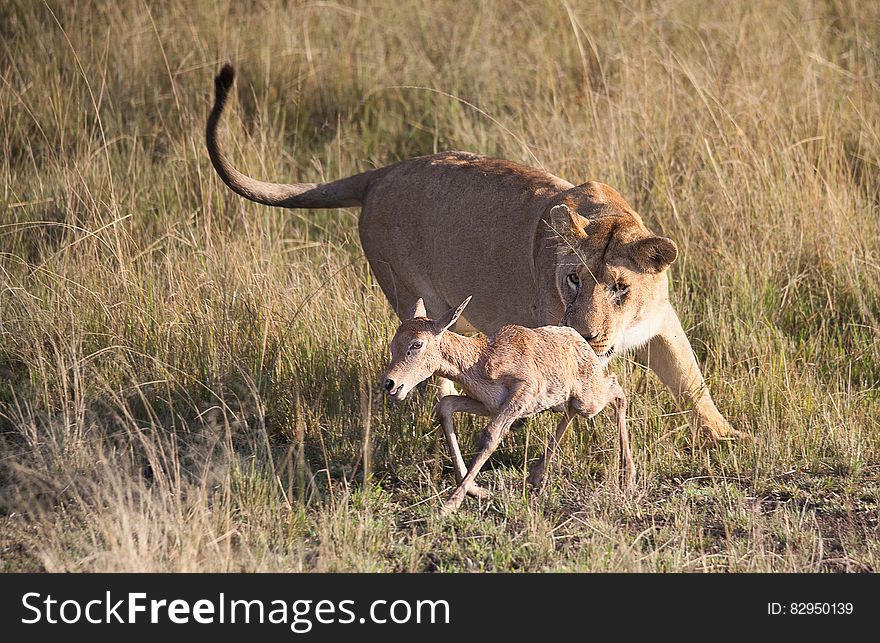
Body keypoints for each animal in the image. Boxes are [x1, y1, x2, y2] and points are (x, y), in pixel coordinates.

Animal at [382, 298, 636, 520]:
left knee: (616, 389)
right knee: (573, 409)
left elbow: (490, 435)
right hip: (570, 400)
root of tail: (580, 341)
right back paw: (536, 474)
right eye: (394, 343)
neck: (481, 360)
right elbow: (444, 406)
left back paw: (628, 476)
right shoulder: (488, 405)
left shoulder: (523, 392)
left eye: (416, 344)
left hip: (589, 400)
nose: (390, 383)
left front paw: (448, 506)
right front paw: (478, 492)